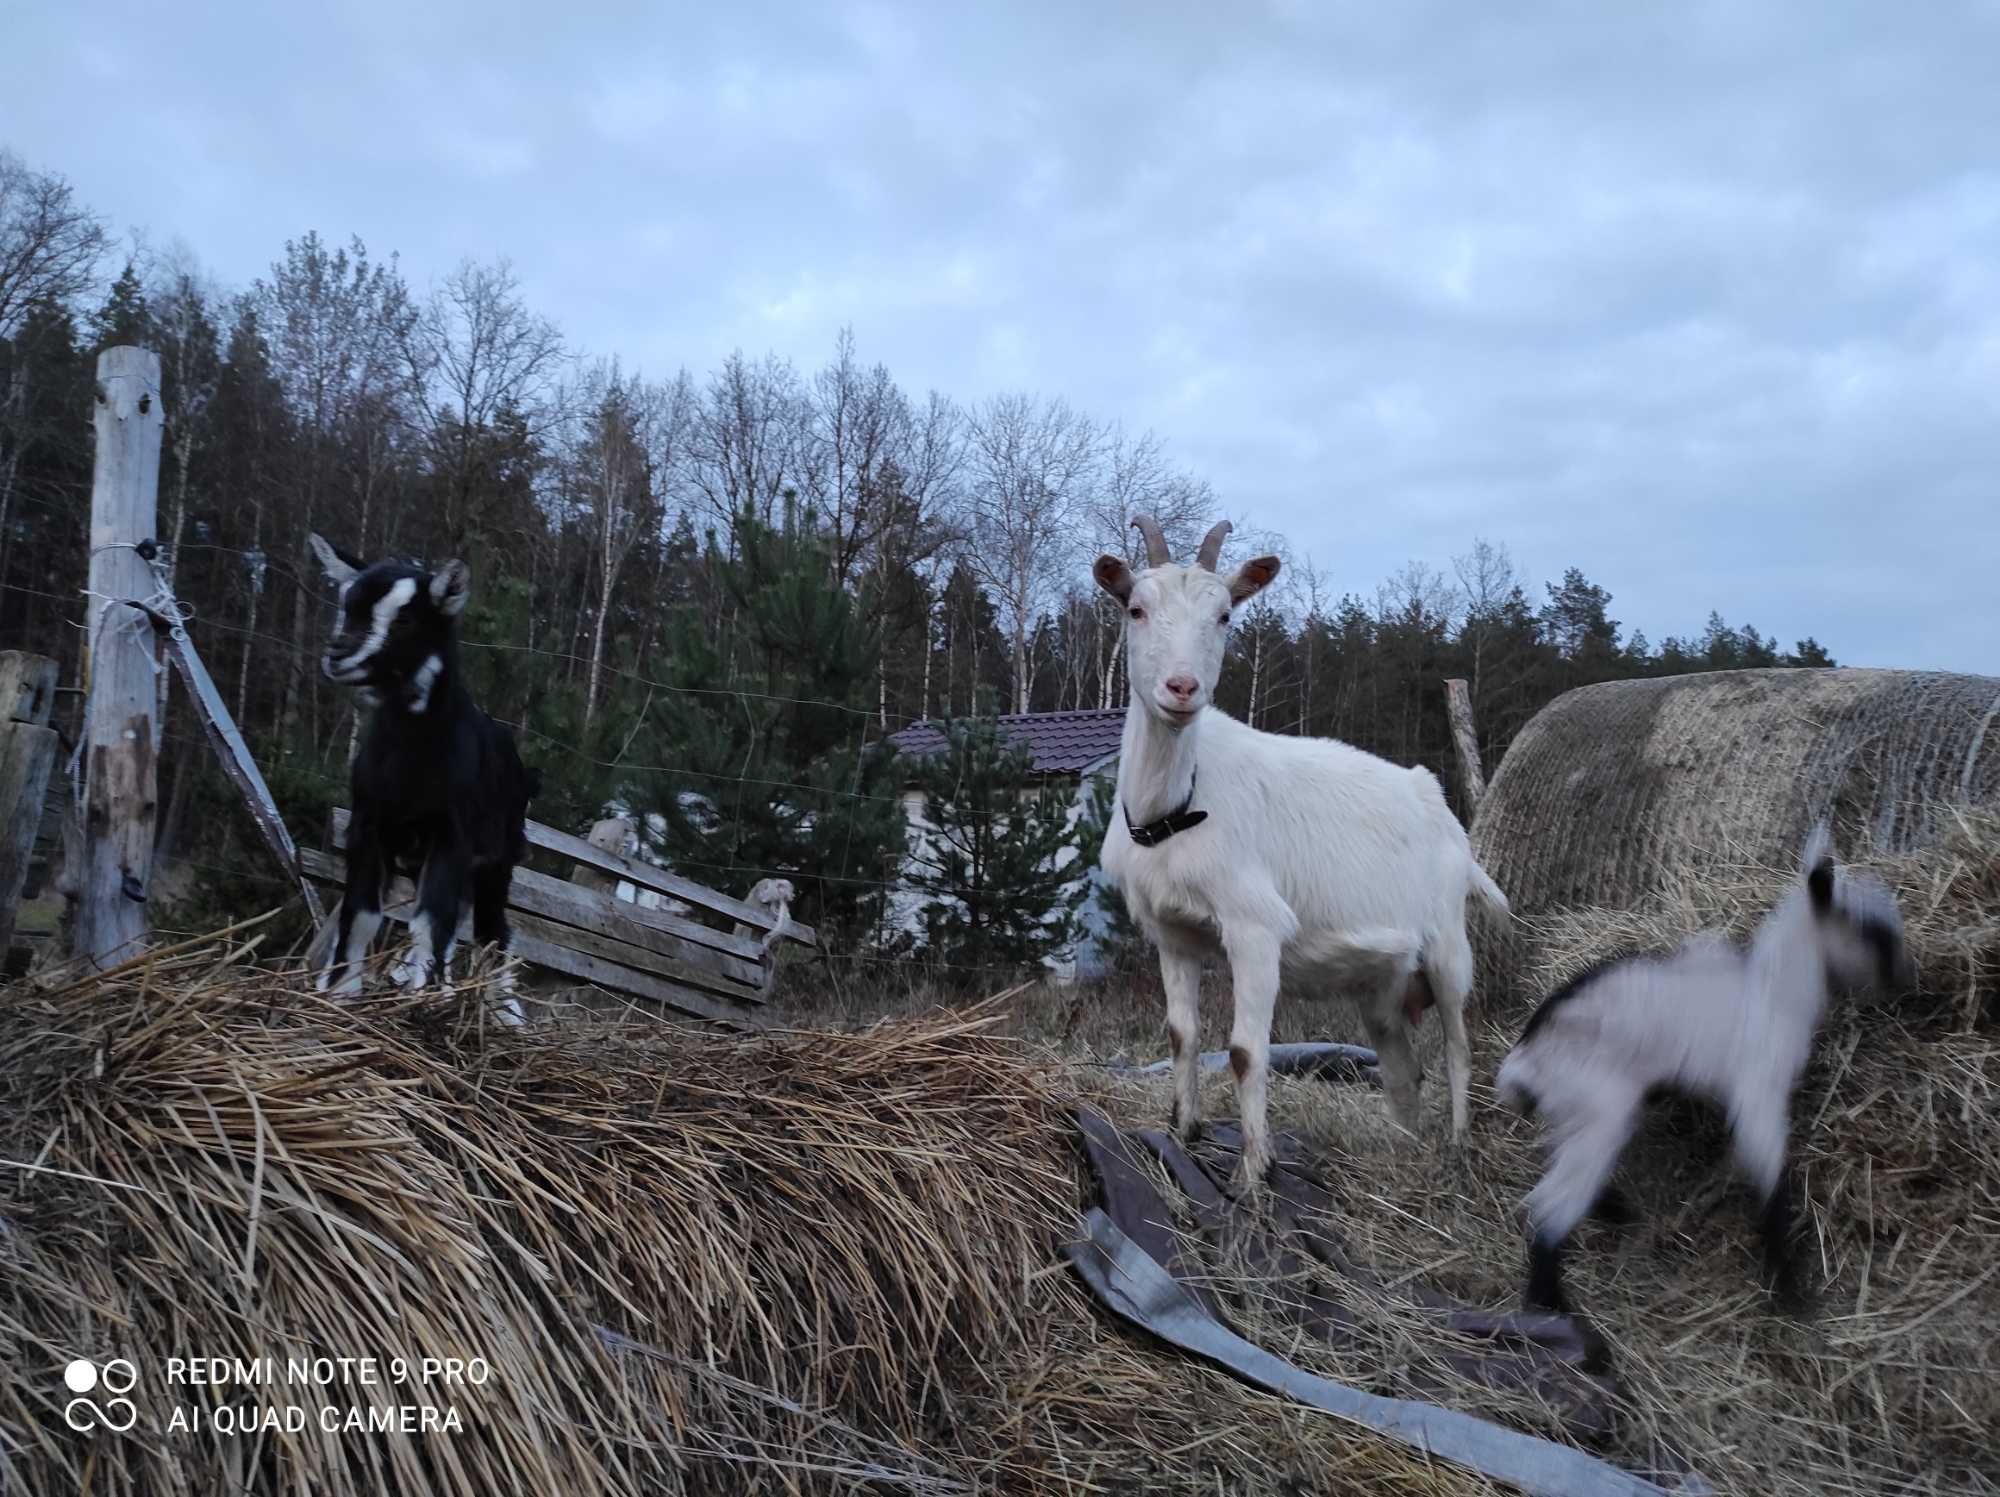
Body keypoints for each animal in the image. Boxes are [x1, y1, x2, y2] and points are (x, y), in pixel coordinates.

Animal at [308, 532, 540, 1012]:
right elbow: (362, 914)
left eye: (406, 622)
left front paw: (426, 999)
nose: (338, 653)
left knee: (493, 931)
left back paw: (503, 1012)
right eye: (346, 605)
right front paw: (339, 990)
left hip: (499, 858)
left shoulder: (451, 834)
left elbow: (429, 922)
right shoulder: (369, 824)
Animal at [1096, 520, 1512, 1184]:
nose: (1182, 689)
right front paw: (1182, 1137)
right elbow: (1181, 1035)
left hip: (1449, 944)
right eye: (1136, 608)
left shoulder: (1255, 928)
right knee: (1402, 1066)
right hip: (1382, 981)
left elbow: (1245, 1051)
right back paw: (1405, 1152)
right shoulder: (1173, 933)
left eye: (1224, 616)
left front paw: (1253, 1174)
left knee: (1458, 1046)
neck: (1176, 805)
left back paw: (1457, 1146)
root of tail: (1442, 809)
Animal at [1504, 824, 1904, 1312]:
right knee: (1547, 1205)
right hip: (1598, 1111)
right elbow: (1771, 1183)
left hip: (1570, 1112)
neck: (1773, 990)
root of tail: (1525, 1057)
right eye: (1874, 930)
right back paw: (1558, 1311)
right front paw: (1790, 1291)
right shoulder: (1758, 1093)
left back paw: (1615, 1210)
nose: (1904, 977)